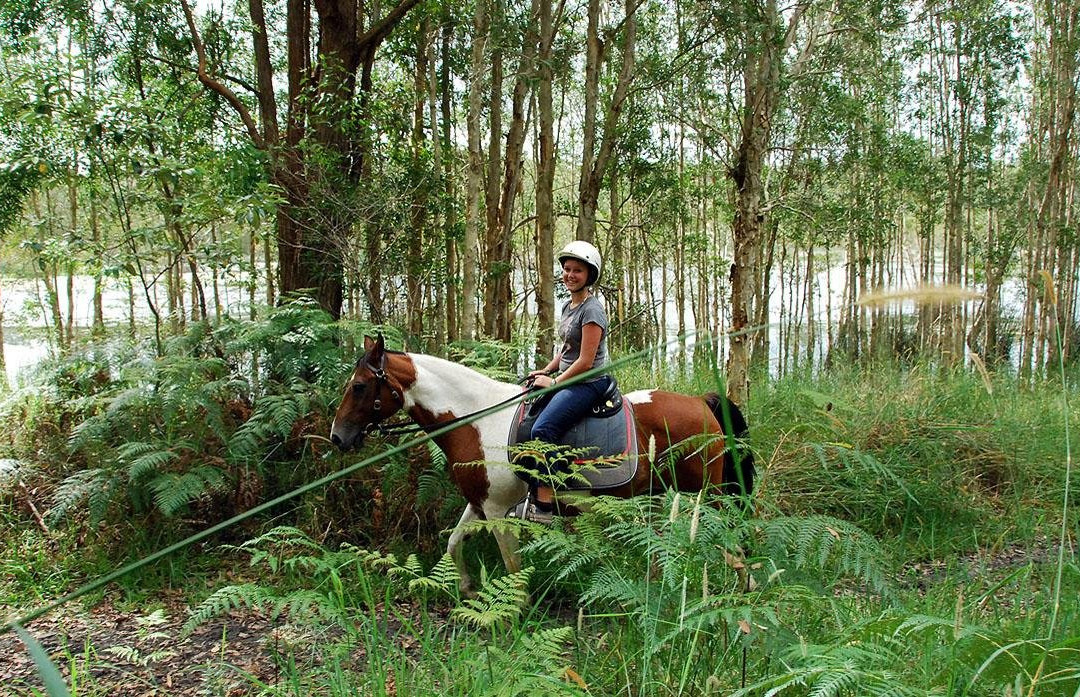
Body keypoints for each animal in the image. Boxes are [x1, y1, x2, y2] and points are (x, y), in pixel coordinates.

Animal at [328, 334, 751, 587]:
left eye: (359, 386)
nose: (337, 437)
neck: (477, 418)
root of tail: (700, 403)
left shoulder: (498, 511)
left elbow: (513, 568)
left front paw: (514, 618)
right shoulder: (480, 503)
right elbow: (453, 542)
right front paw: (465, 588)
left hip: (709, 493)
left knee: (730, 536)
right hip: (662, 494)